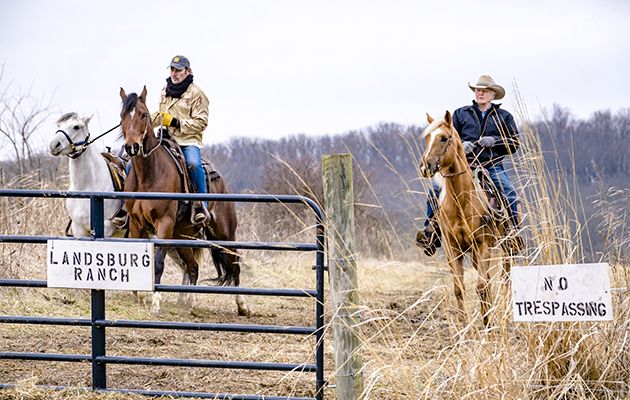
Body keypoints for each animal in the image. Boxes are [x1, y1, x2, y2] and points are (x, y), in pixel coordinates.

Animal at [119, 85, 248, 316]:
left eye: (143, 114)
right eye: (122, 116)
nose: (132, 147)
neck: (149, 174)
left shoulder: (164, 224)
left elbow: (158, 263)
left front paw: (155, 303)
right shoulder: (136, 224)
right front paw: (141, 296)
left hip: (224, 233)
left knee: (234, 263)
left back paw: (242, 305)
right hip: (183, 235)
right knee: (193, 266)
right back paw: (189, 301)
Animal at [422, 111, 520, 326]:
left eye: (444, 138)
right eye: (426, 138)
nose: (425, 166)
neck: (462, 200)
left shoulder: (483, 245)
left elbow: (482, 287)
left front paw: (487, 324)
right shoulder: (453, 249)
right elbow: (459, 288)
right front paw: (464, 324)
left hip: (506, 247)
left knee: (505, 277)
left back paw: (504, 314)